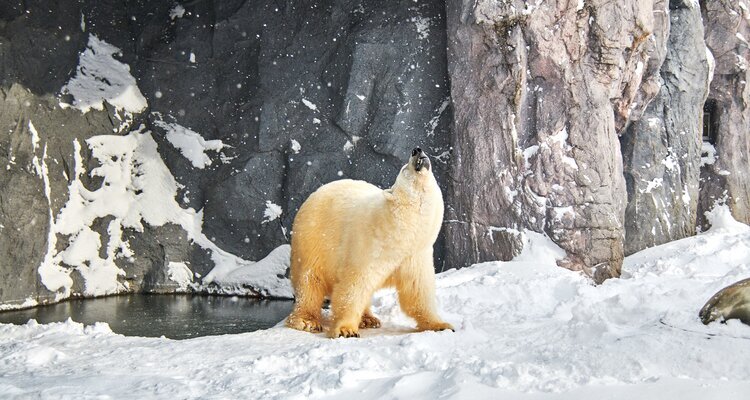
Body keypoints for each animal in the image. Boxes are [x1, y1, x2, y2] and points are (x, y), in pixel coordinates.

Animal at [286, 147, 454, 338]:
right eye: (404, 170)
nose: (416, 150)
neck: (399, 236)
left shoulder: (415, 255)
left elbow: (418, 291)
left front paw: (441, 325)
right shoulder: (369, 246)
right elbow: (354, 286)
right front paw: (346, 330)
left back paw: (368, 319)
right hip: (312, 241)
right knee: (310, 281)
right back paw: (307, 321)